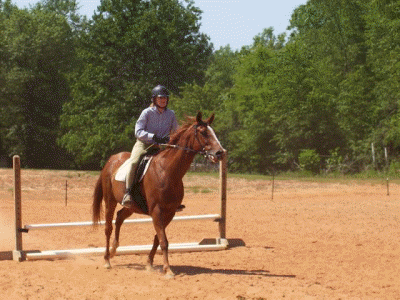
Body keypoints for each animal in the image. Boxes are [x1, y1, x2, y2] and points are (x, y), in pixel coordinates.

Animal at [92, 112, 227, 276]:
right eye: (203, 132)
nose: (220, 153)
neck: (167, 171)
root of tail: (111, 160)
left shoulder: (169, 212)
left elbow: (158, 238)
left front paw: (149, 264)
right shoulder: (157, 211)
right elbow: (163, 240)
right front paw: (168, 270)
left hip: (132, 207)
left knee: (119, 218)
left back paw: (113, 250)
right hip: (110, 200)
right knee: (108, 227)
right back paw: (107, 259)